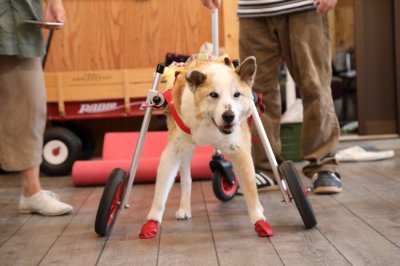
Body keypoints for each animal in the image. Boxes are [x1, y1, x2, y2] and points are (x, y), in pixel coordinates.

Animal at [139, 55, 274, 238]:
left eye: (237, 94)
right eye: (213, 95)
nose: (229, 116)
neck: (210, 124)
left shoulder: (240, 150)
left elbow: (250, 188)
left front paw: (259, 220)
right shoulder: (172, 153)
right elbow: (161, 191)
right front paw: (152, 222)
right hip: (185, 149)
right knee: (186, 179)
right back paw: (184, 208)